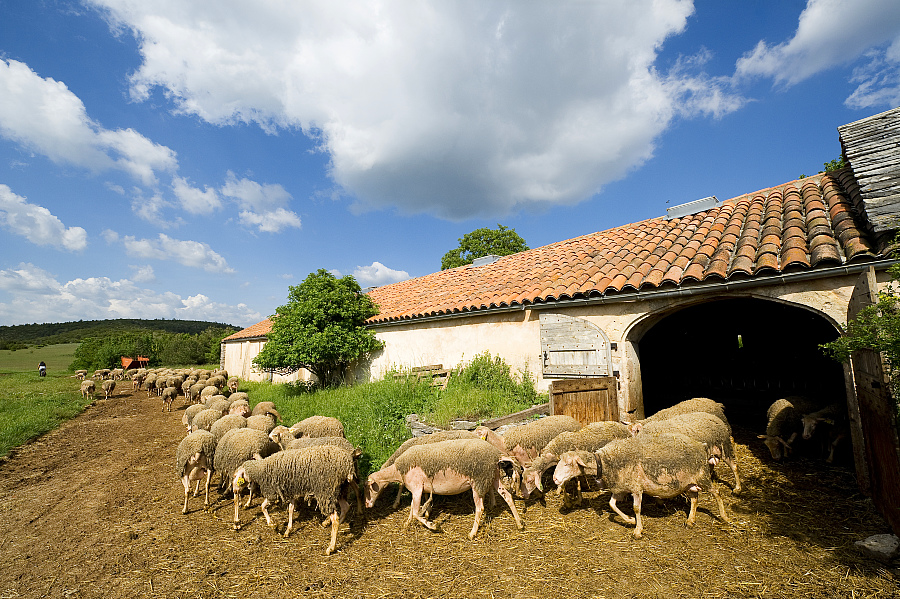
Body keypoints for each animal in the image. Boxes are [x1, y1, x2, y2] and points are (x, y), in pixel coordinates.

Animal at [364, 438, 524, 540]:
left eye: (369, 488)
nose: (366, 505)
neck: (398, 471)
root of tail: (496, 455)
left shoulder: (417, 488)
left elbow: (415, 511)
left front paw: (432, 525)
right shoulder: (419, 490)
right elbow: (412, 508)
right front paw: (408, 523)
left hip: (478, 481)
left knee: (480, 508)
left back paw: (472, 534)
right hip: (492, 477)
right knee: (508, 497)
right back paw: (519, 524)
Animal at [548, 432, 732, 540]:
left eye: (568, 464)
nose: (555, 479)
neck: (606, 463)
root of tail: (701, 445)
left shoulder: (636, 488)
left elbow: (636, 508)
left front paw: (637, 530)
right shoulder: (621, 488)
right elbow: (612, 504)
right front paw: (629, 520)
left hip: (702, 476)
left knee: (717, 492)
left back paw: (724, 517)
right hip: (688, 483)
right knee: (694, 499)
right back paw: (690, 520)